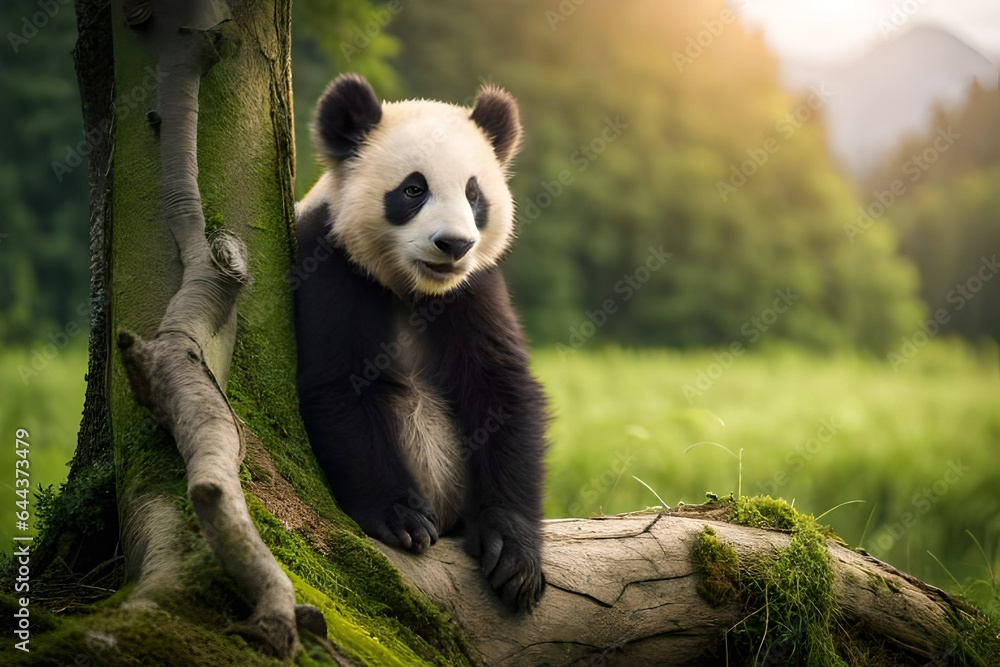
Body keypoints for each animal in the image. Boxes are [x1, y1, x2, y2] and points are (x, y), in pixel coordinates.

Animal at [293, 73, 548, 612]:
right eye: (413, 189)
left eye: (474, 194)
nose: (453, 245)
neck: (414, 287)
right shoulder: (329, 260)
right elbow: (337, 384)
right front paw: (402, 517)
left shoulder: (474, 287)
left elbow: (501, 386)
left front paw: (513, 553)